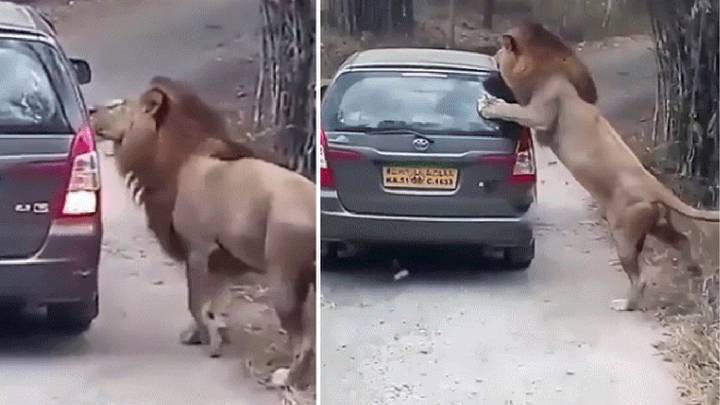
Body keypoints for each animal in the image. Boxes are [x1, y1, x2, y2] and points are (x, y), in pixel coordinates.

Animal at [478, 20, 720, 310]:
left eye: (500, 54)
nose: (491, 61)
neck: (542, 67)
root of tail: (655, 186)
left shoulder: (541, 111)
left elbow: (512, 110)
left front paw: (489, 106)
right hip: (659, 225)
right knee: (683, 240)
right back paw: (694, 272)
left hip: (624, 232)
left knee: (640, 278)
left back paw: (626, 304)